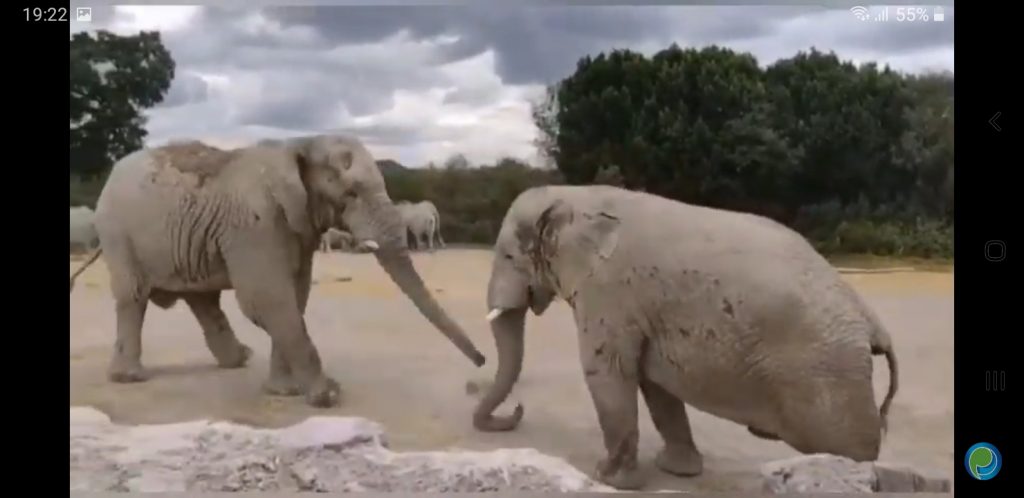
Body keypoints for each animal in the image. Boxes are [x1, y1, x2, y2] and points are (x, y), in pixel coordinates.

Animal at [68, 135, 486, 408]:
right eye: (350, 194)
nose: (482, 363)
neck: (302, 143)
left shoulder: (295, 227)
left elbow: (295, 297)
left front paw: (284, 393)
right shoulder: (255, 224)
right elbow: (267, 299)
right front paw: (327, 395)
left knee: (201, 299)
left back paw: (238, 360)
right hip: (118, 232)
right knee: (133, 297)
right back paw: (129, 378)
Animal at [473, 185, 899, 490]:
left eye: (508, 256)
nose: (517, 411)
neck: (575, 195)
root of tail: (873, 324)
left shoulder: (609, 291)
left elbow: (607, 371)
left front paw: (606, 478)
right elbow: (655, 383)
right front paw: (677, 473)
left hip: (828, 379)